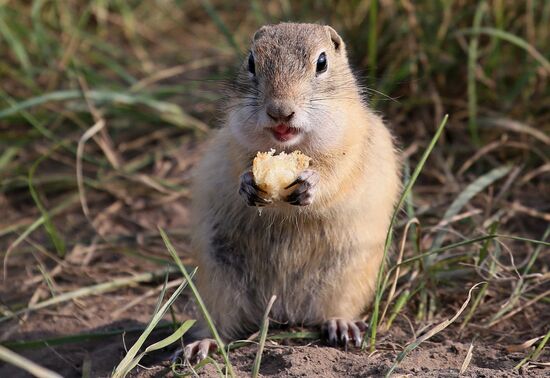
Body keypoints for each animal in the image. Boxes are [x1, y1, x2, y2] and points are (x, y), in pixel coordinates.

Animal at [185, 22, 402, 358]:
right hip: (217, 281)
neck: (290, 146)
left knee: (333, 309)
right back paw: (201, 346)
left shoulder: (351, 147)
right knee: (219, 323)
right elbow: (239, 166)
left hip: (347, 274)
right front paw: (248, 184)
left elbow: (335, 174)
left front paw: (310, 184)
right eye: (251, 61)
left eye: (322, 62)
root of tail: (282, 311)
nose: (280, 111)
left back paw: (342, 326)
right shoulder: (234, 143)